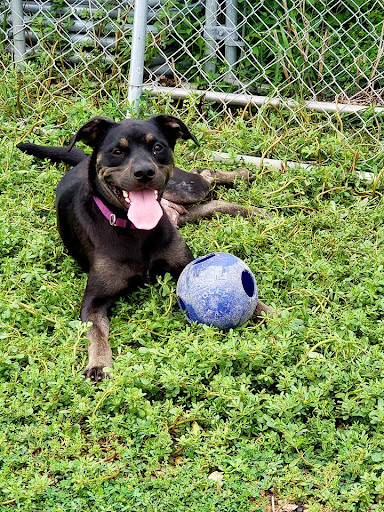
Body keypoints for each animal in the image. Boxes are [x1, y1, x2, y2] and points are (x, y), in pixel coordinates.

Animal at [17, 115, 276, 380]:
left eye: (157, 147)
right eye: (117, 151)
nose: (144, 172)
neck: (134, 229)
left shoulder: (185, 265)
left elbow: (253, 302)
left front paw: (272, 313)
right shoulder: (93, 301)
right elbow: (96, 332)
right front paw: (99, 364)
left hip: (184, 188)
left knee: (204, 174)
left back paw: (244, 179)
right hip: (184, 209)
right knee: (210, 199)